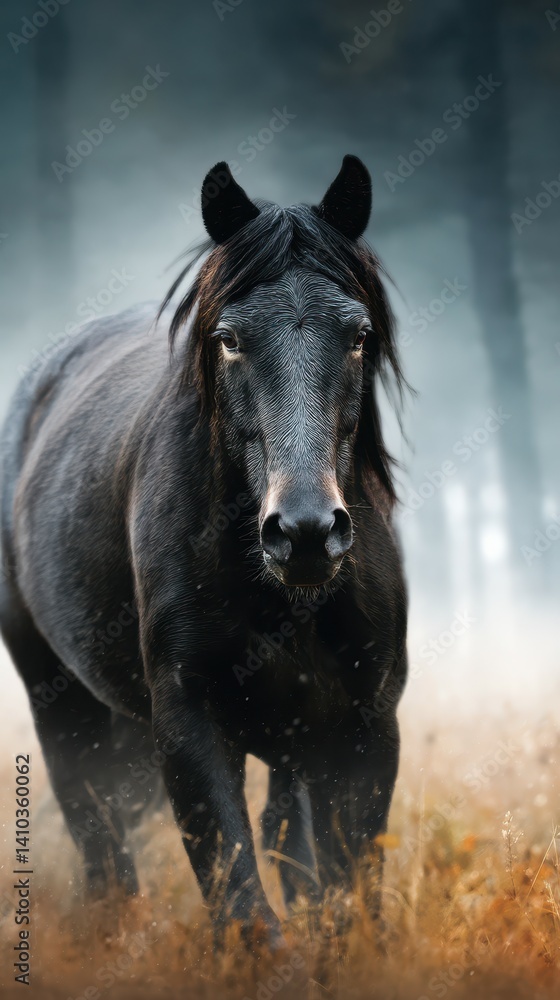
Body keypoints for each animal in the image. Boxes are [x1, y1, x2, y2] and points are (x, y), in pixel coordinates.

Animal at [0, 155, 408, 949]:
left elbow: (347, 897)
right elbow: (245, 911)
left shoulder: (367, 724)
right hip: (57, 699)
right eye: (229, 338)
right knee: (100, 841)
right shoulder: (189, 722)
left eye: (358, 333)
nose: (304, 530)